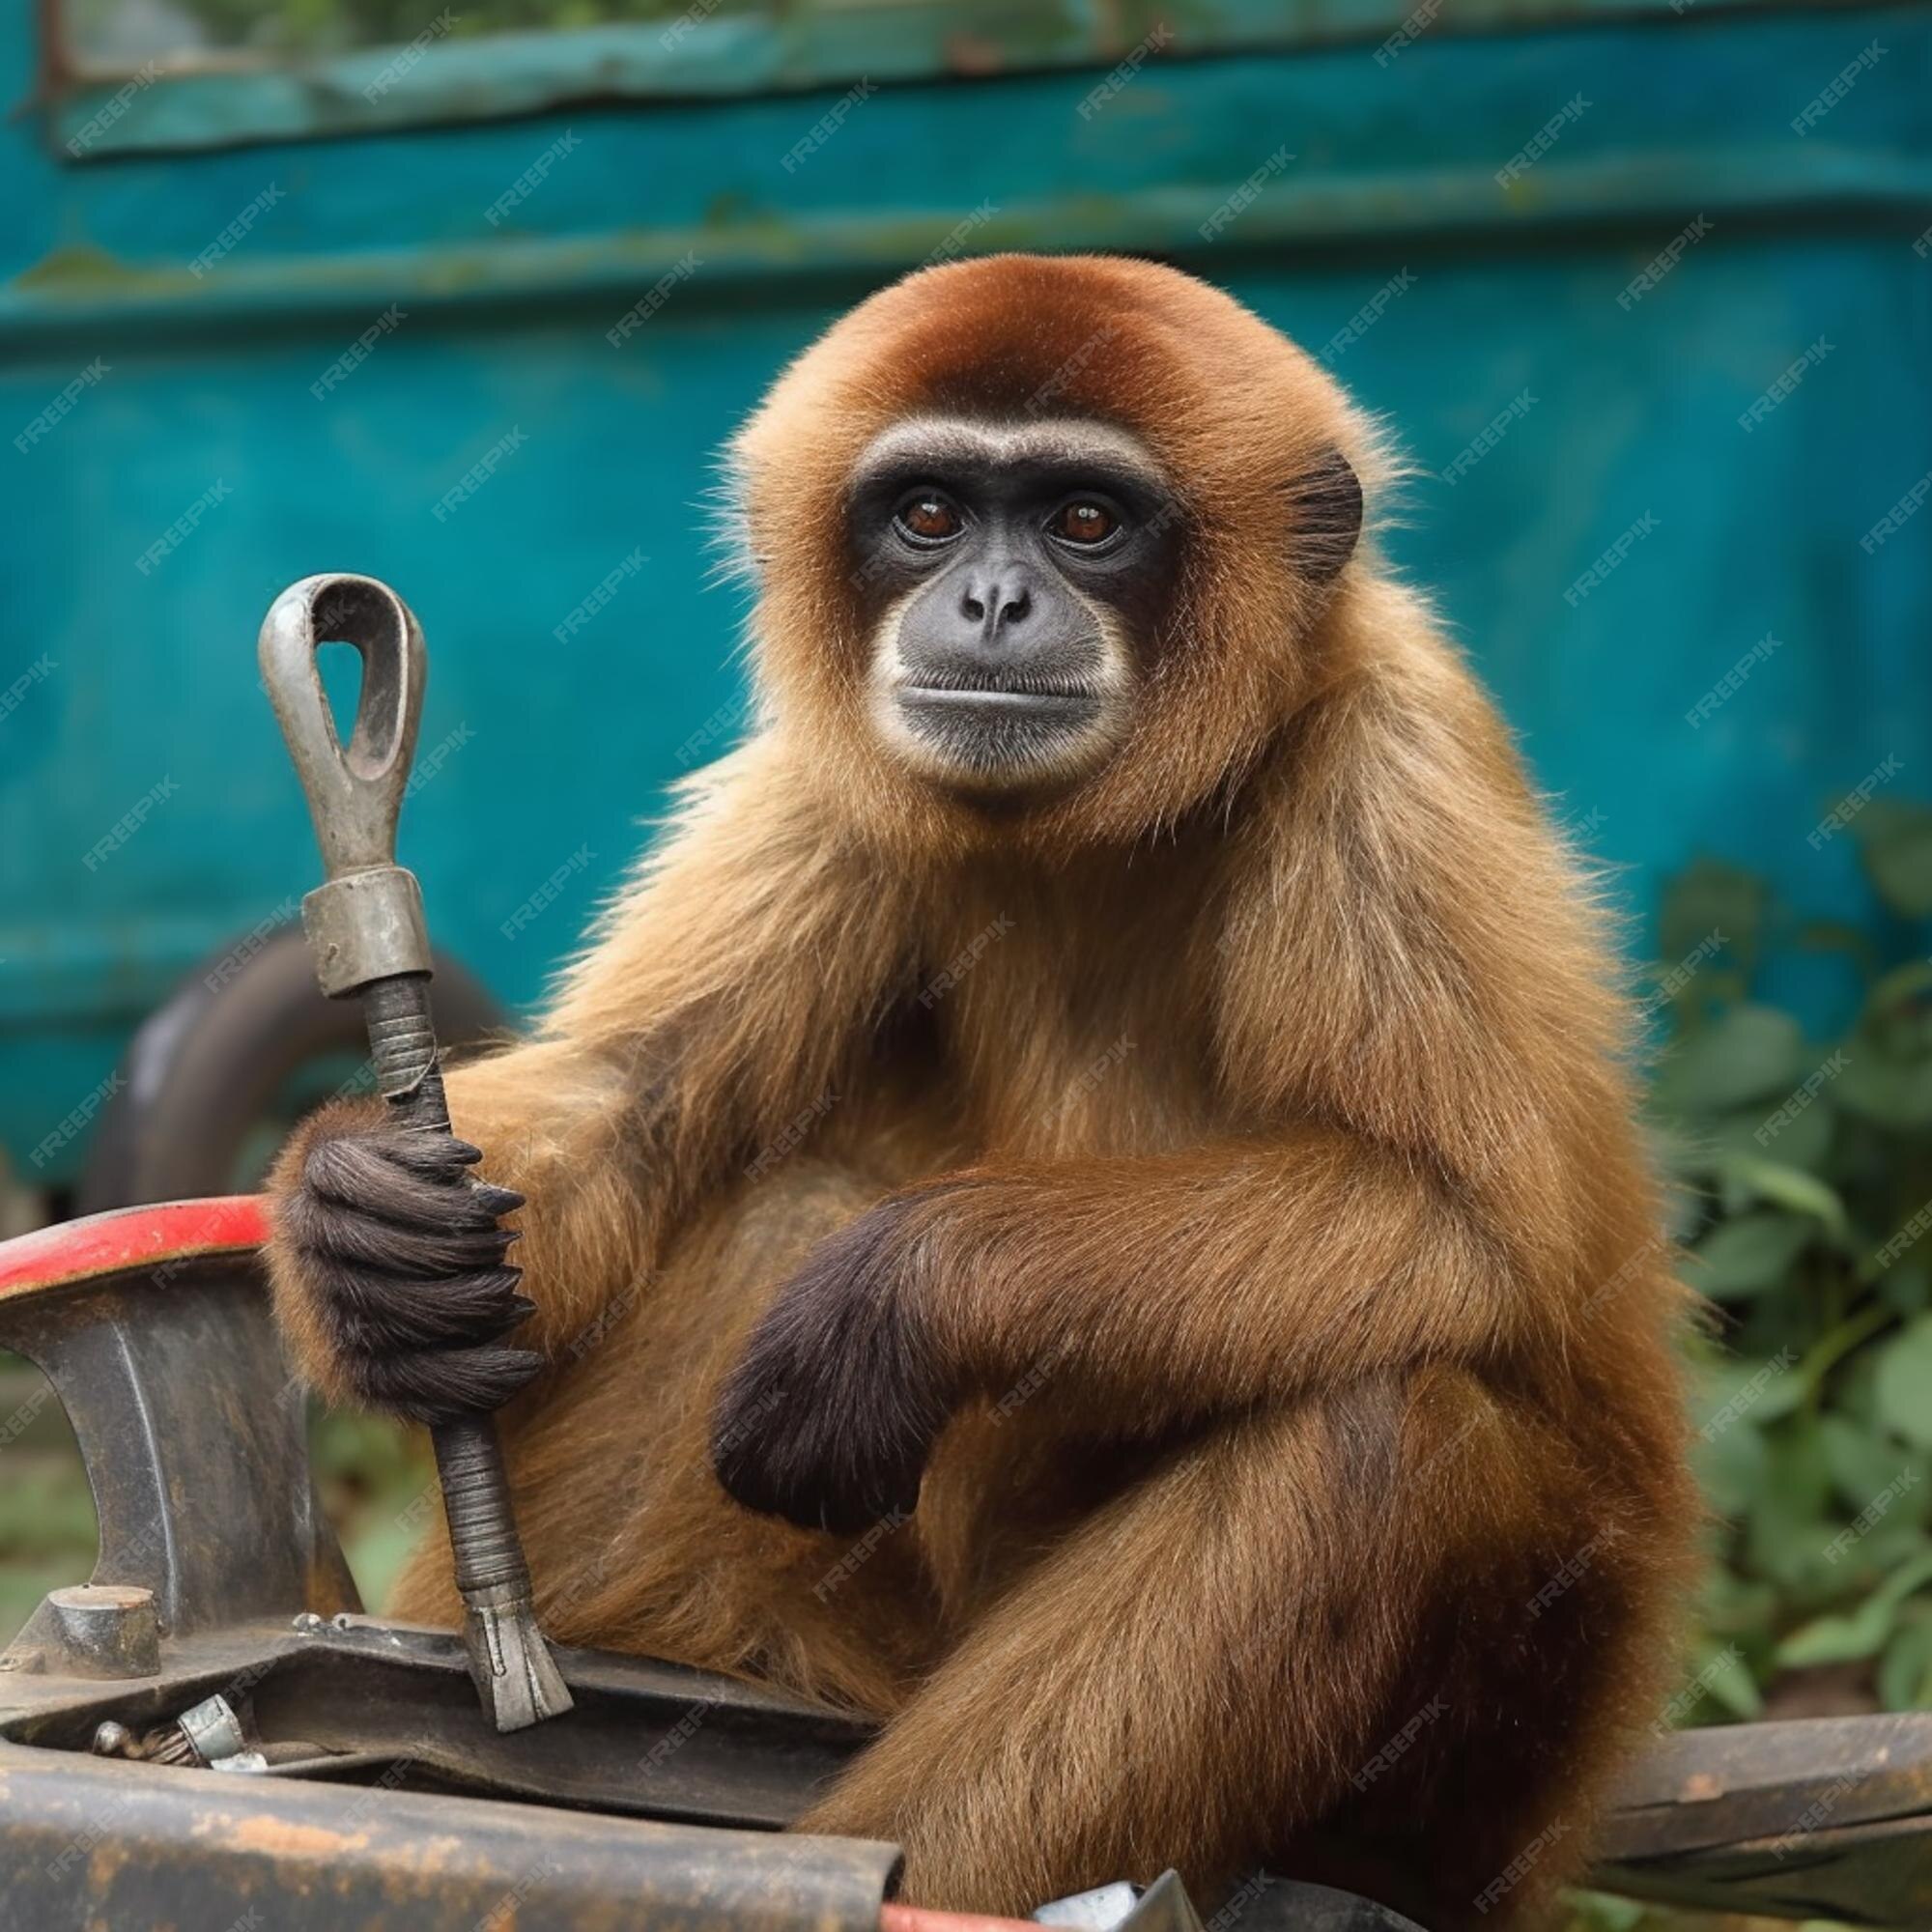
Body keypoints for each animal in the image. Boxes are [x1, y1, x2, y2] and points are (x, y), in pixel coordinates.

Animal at [269, 257, 1692, 1932]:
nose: (993, 602)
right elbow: (638, 1095)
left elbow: (1468, 1230)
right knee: (780, 1203)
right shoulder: (836, 772)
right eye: (932, 514)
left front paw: (898, 1292)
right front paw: (360, 1239)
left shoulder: (1390, 767)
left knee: (1380, 1428)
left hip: (1497, 1757)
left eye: (1083, 519)